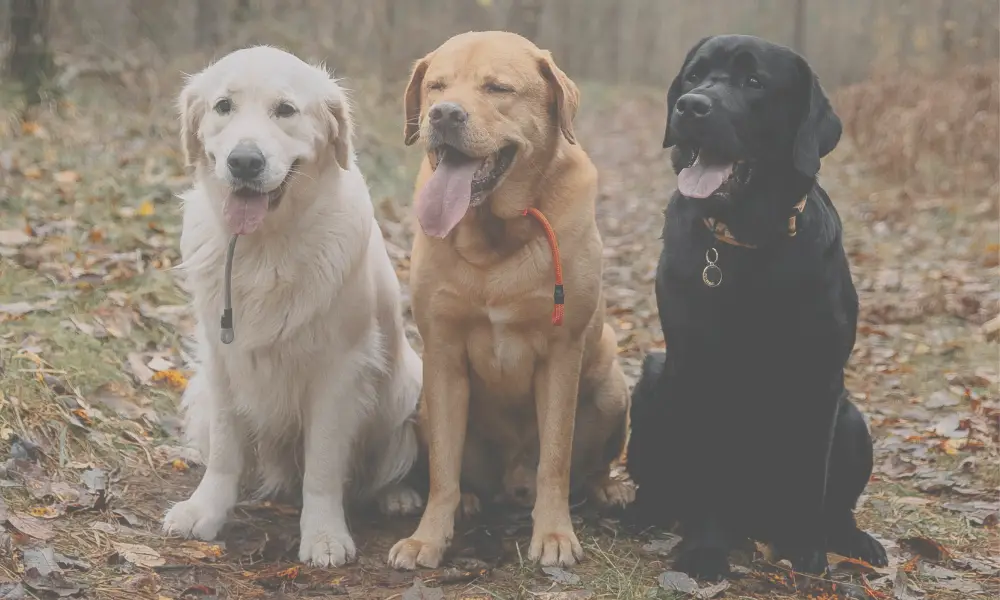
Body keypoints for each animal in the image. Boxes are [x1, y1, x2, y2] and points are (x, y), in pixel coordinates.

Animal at [159, 47, 422, 568]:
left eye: (286, 110)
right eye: (223, 106)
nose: (244, 161)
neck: (264, 247)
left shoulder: (339, 370)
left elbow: (323, 464)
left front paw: (323, 535)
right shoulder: (223, 359)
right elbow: (226, 451)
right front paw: (205, 510)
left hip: (408, 386)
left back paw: (396, 495)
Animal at [384, 30, 632, 568]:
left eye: (497, 88)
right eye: (436, 87)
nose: (444, 114)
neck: (493, 236)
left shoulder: (562, 354)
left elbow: (556, 458)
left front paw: (555, 534)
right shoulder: (443, 354)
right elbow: (444, 467)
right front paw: (428, 538)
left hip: (613, 387)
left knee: (586, 465)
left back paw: (606, 489)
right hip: (423, 404)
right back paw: (465, 501)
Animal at [628, 34, 888, 580]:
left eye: (754, 82)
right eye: (694, 76)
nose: (691, 105)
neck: (749, 240)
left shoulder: (820, 379)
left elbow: (809, 480)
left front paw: (807, 554)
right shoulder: (696, 368)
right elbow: (706, 474)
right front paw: (703, 552)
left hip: (853, 421)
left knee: (837, 504)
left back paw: (852, 540)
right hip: (652, 384)